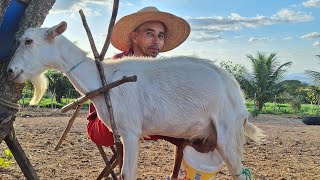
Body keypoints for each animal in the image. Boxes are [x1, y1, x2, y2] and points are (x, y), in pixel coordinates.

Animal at [6, 21, 264, 179]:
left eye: (28, 41)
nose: (10, 71)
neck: (103, 77)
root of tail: (237, 93)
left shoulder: (131, 131)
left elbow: (127, 174)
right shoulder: (119, 134)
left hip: (228, 131)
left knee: (240, 172)